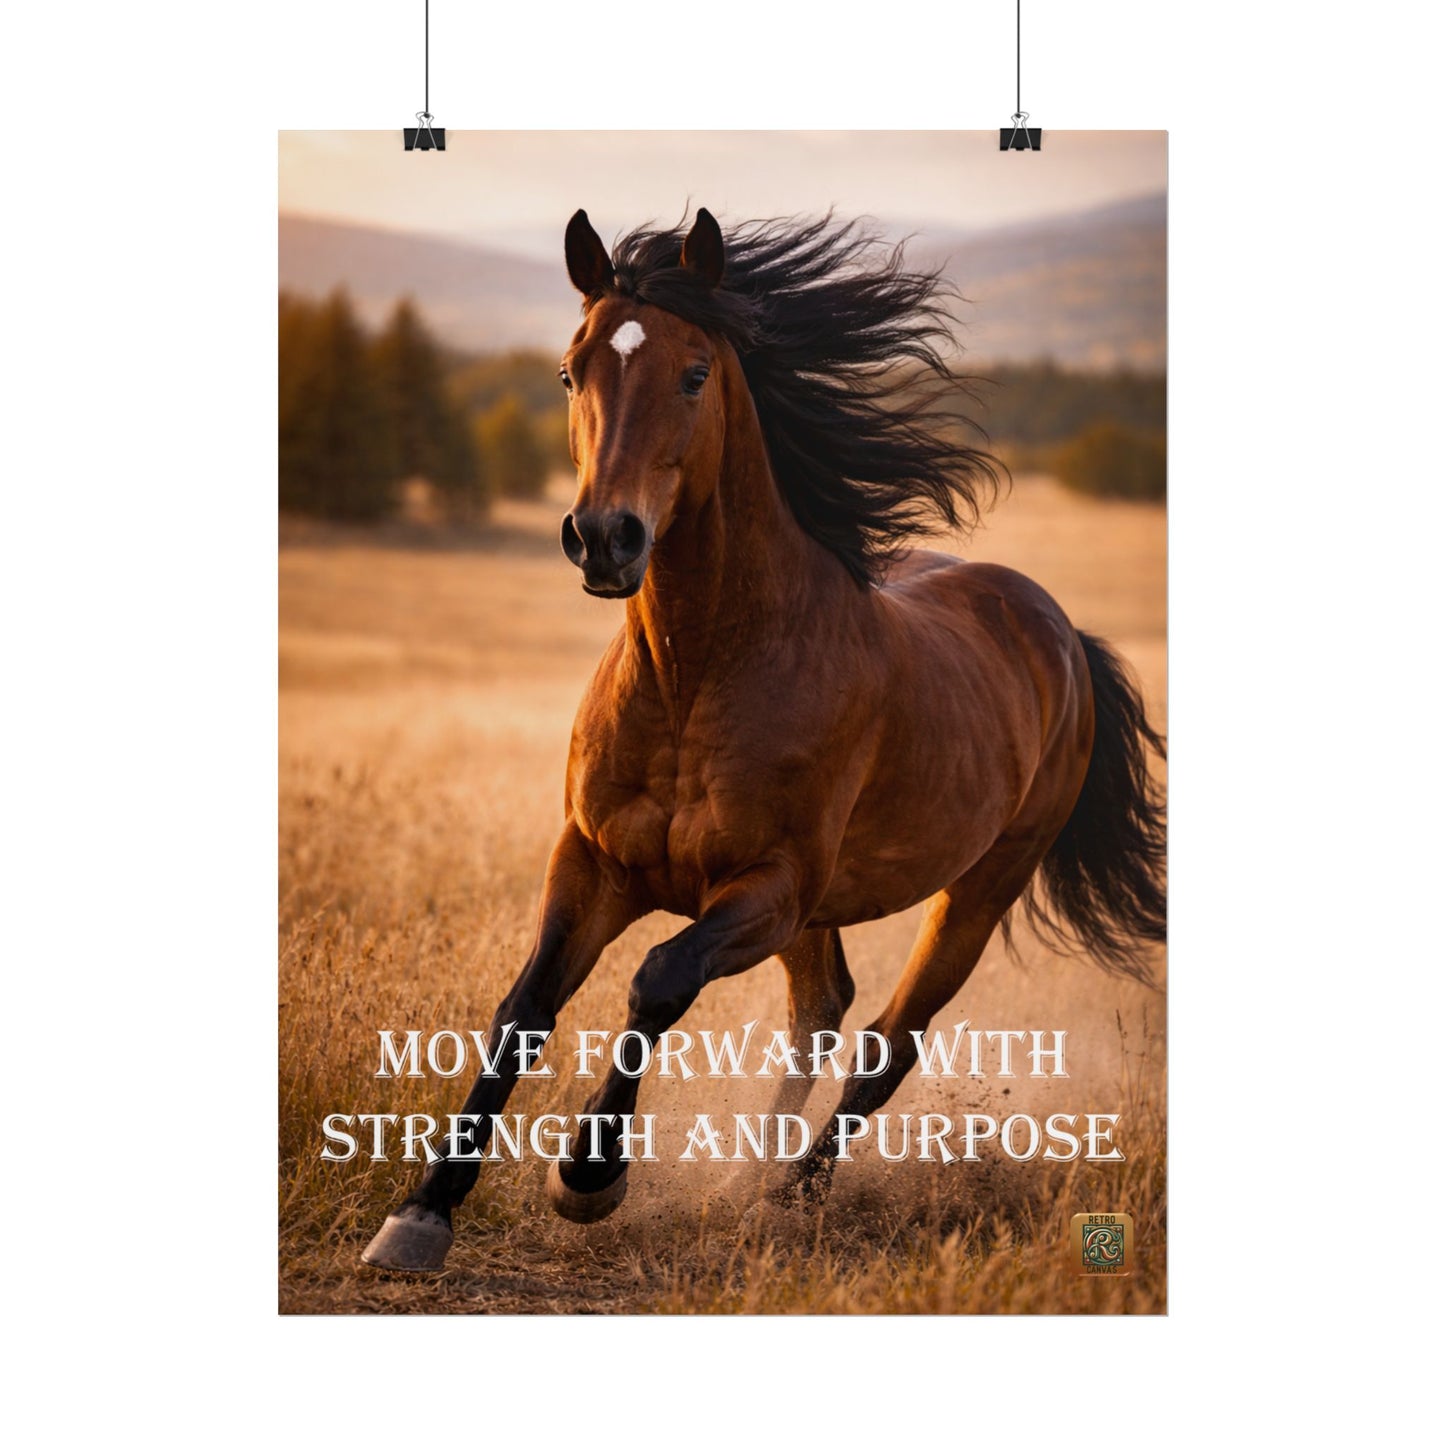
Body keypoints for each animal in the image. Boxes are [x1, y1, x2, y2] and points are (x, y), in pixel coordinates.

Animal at [362, 207, 1166, 1272]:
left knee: (886, 1040)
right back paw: (746, 1183)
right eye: (571, 371)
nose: (604, 538)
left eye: (695, 372)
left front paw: (588, 1175)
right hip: (825, 909)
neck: (696, 675)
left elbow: (657, 980)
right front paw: (422, 1211)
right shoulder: (592, 861)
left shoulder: (765, 890)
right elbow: (523, 1010)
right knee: (822, 1011)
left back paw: (789, 1193)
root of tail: (1058, 631)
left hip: (980, 885)